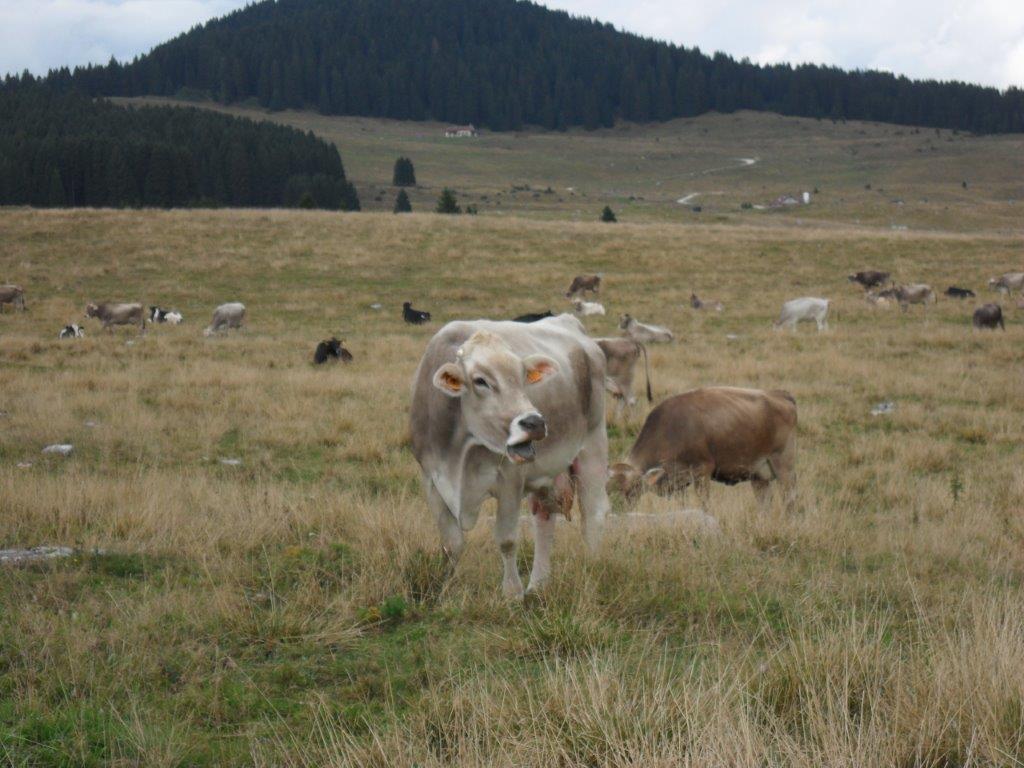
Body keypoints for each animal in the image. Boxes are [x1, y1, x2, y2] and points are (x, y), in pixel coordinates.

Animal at [606, 387, 798, 514]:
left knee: (789, 499)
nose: (615, 512)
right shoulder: (678, 482)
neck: (670, 429)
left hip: (784, 466)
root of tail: (781, 394)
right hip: (758, 476)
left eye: (632, 488)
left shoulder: (702, 472)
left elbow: (704, 504)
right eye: (606, 491)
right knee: (764, 504)